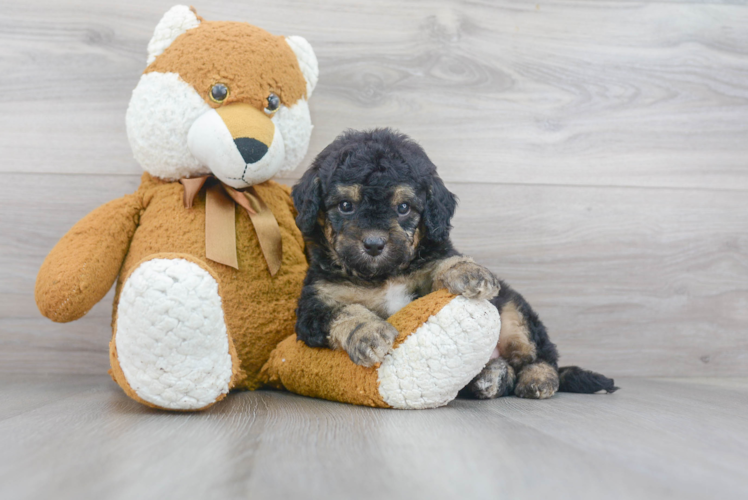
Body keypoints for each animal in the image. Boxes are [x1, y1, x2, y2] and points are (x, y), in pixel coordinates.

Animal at [290, 128, 616, 398]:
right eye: (346, 206)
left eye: (403, 207)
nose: (373, 244)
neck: (382, 276)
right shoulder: (314, 307)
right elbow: (344, 310)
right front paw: (368, 332)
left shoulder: (426, 266)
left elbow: (442, 263)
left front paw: (466, 271)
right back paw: (491, 376)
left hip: (514, 313)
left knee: (540, 355)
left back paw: (536, 378)